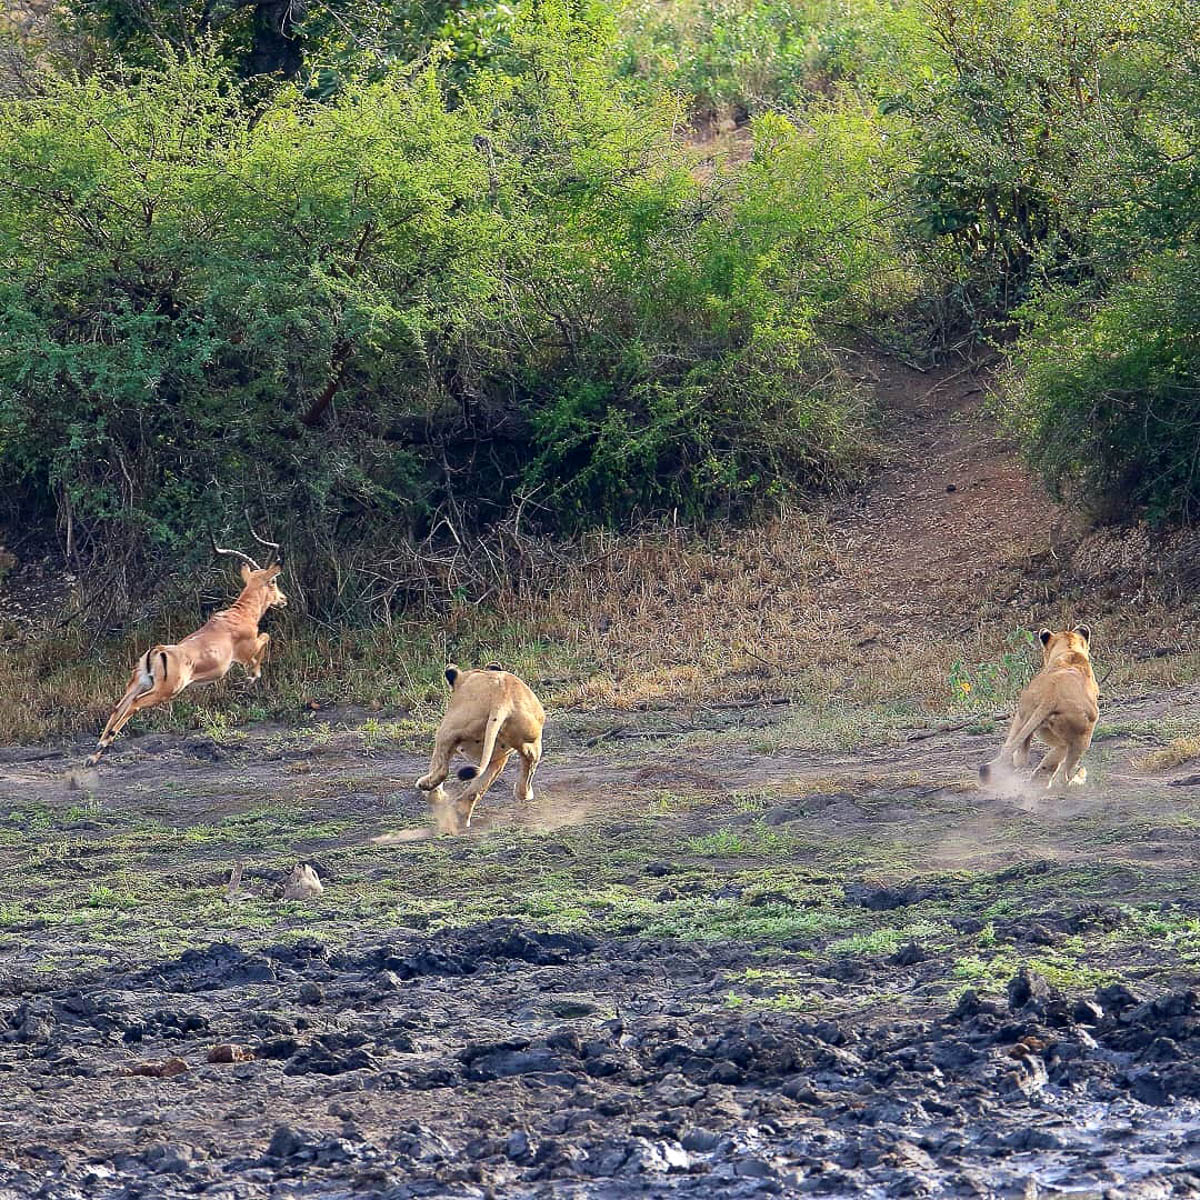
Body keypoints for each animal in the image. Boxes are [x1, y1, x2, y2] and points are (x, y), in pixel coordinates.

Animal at [85, 525, 287, 767]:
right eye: (274, 581)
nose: (283, 600)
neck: (241, 614)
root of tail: (157, 651)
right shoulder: (246, 652)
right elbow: (266, 637)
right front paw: (251, 678)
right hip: (164, 692)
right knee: (134, 704)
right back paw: (102, 746)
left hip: (139, 683)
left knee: (117, 707)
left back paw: (94, 755)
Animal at [416, 664, 545, 834]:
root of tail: (502, 698)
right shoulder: (500, 756)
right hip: (522, 746)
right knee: (522, 776)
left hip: (447, 730)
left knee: (442, 769)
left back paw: (430, 790)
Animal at [979, 625, 1099, 790]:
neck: (1069, 651)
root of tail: (1051, 696)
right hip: (1082, 736)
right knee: (1063, 769)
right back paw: (1074, 780)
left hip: (1024, 718)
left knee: (1017, 754)